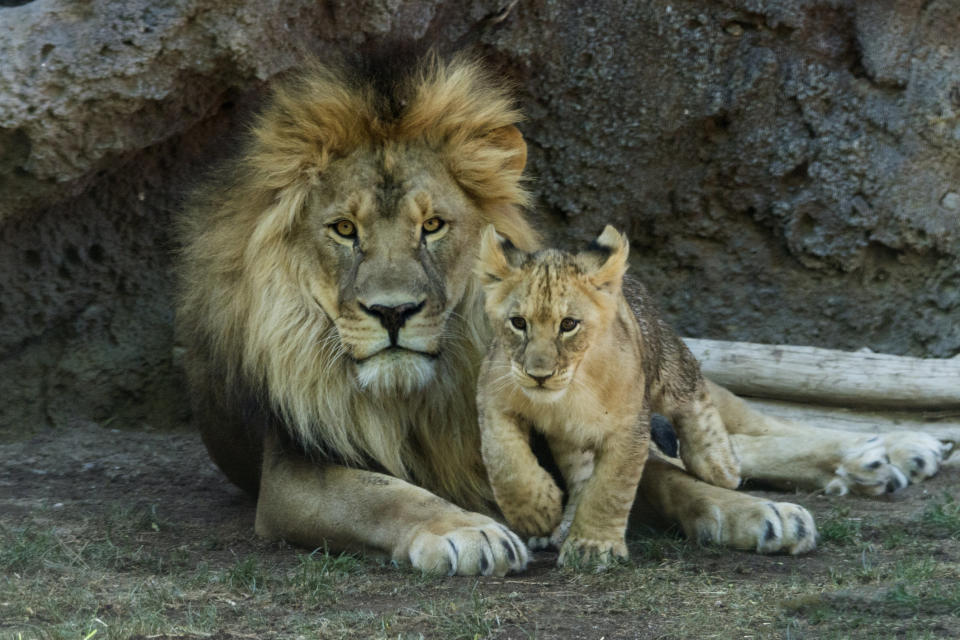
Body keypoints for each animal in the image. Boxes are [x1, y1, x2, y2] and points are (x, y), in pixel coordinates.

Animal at [178, 53, 952, 576]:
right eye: (344, 230)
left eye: (433, 227)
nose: (394, 313)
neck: (419, 395)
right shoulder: (292, 472)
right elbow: (384, 494)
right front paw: (466, 531)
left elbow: (665, 479)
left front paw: (753, 513)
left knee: (741, 428)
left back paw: (887, 451)